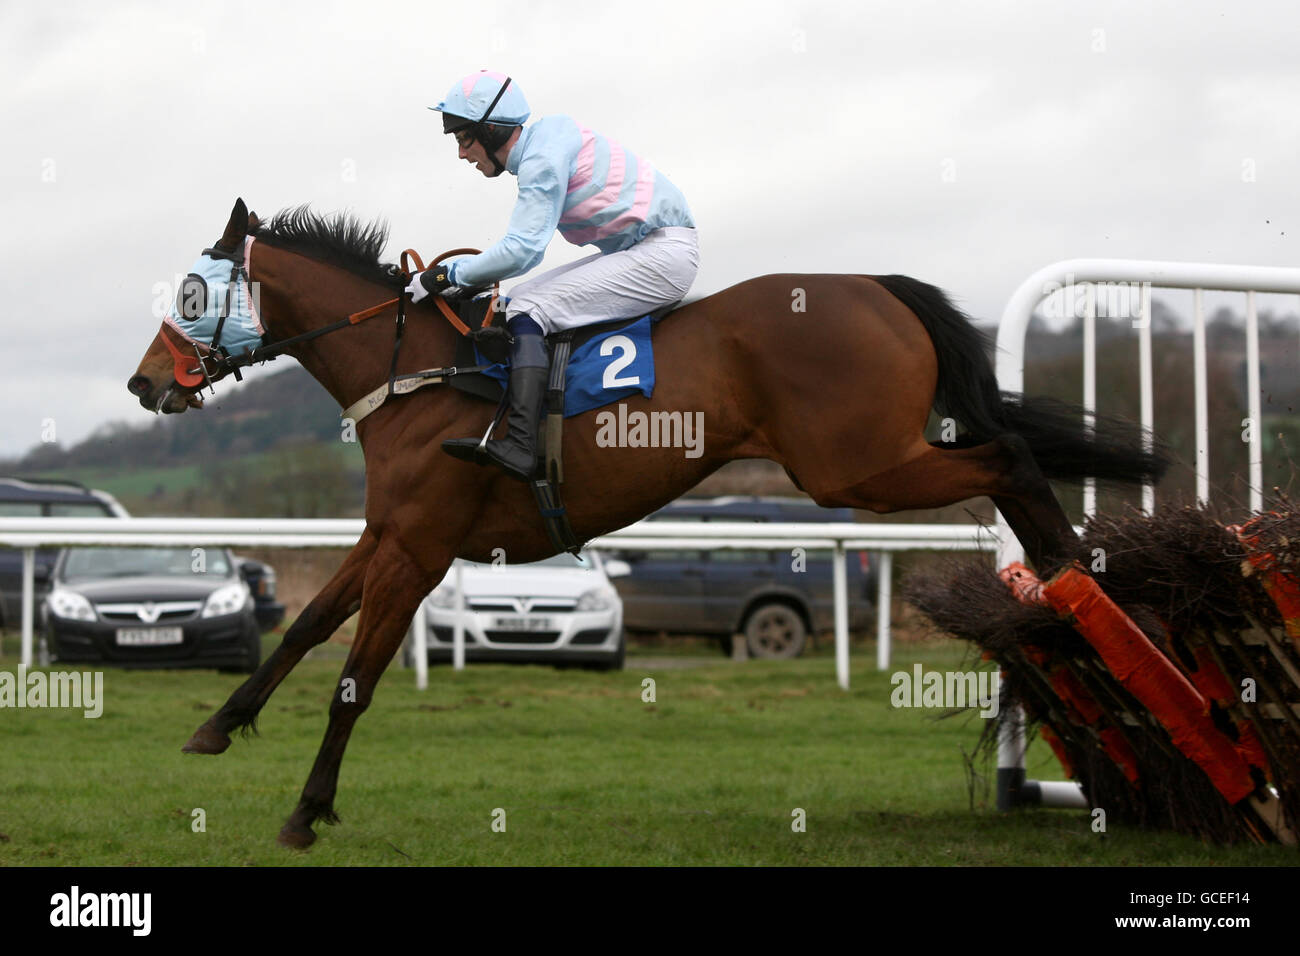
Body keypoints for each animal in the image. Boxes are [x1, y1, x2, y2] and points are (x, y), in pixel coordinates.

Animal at [131, 197, 1170, 848]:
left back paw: (1076, 579)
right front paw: (219, 726)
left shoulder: (420, 552)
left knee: (1014, 457)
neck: (420, 373)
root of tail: (875, 284)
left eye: (191, 293)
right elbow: (305, 627)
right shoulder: (386, 537)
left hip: (859, 467)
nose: (144, 384)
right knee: (1012, 457)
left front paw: (307, 812)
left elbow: (355, 680)